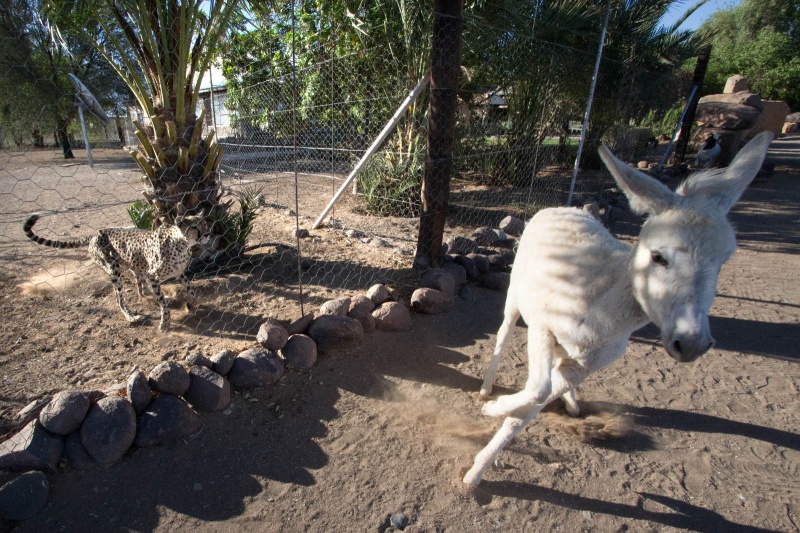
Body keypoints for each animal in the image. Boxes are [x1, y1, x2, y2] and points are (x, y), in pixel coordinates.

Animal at [23, 214, 208, 330]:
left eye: (204, 223)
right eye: (194, 227)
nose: (207, 234)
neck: (182, 244)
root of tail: (95, 233)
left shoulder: (179, 272)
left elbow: (191, 290)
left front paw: (189, 304)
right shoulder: (153, 275)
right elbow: (163, 304)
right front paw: (165, 323)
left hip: (132, 264)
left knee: (139, 286)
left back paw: (152, 295)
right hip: (114, 270)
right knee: (120, 298)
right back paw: (131, 316)